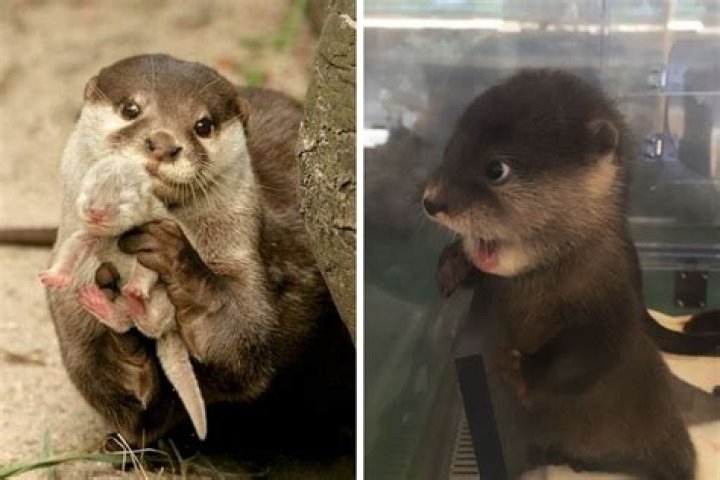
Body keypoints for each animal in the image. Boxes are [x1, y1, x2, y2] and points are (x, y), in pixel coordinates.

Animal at [46, 54, 354, 449]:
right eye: (131, 108)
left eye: (203, 125)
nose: (163, 143)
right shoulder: (68, 307)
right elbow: (115, 395)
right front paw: (122, 340)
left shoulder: (248, 257)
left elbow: (243, 343)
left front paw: (174, 258)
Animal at [424, 70, 699, 478]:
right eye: (448, 153)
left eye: (495, 169)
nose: (431, 201)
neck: (550, 283)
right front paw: (453, 264)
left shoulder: (613, 303)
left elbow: (588, 358)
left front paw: (520, 370)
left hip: (664, 431)